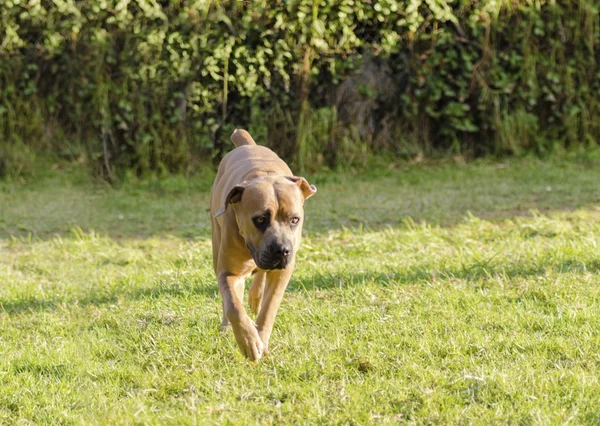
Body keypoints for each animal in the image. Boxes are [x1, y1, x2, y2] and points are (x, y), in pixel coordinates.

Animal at [209, 129, 316, 360]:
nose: (282, 250)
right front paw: (249, 341)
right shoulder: (228, 272)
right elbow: (233, 305)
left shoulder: (283, 272)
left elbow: (270, 307)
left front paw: (261, 338)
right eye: (259, 219)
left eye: (295, 219)